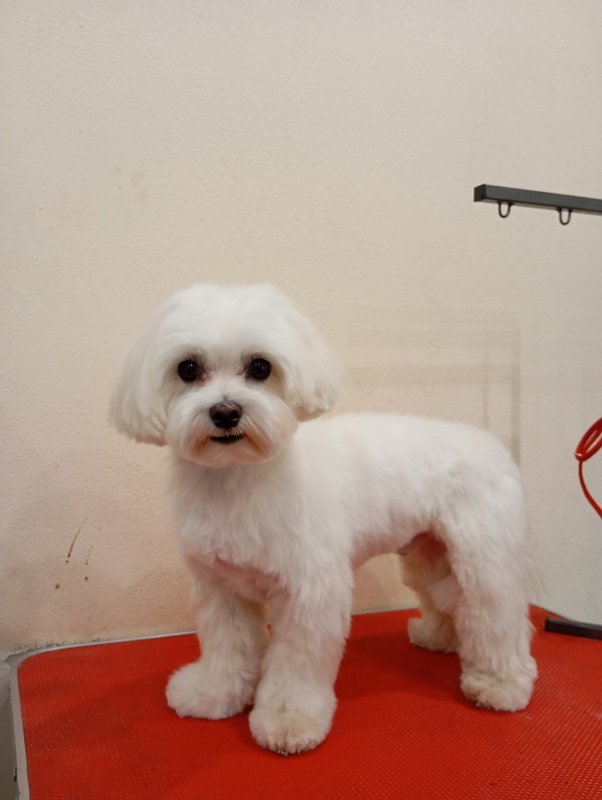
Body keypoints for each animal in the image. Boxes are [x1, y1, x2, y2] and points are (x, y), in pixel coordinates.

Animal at [110, 283, 537, 755]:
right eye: (187, 368)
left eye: (260, 367)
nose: (225, 412)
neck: (239, 479)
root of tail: (492, 443)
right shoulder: (220, 586)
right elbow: (228, 648)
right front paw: (213, 694)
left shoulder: (310, 591)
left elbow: (295, 664)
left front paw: (288, 721)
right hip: (430, 556)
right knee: (448, 601)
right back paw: (436, 637)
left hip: (484, 557)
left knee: (495, 614)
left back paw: (500, 684)